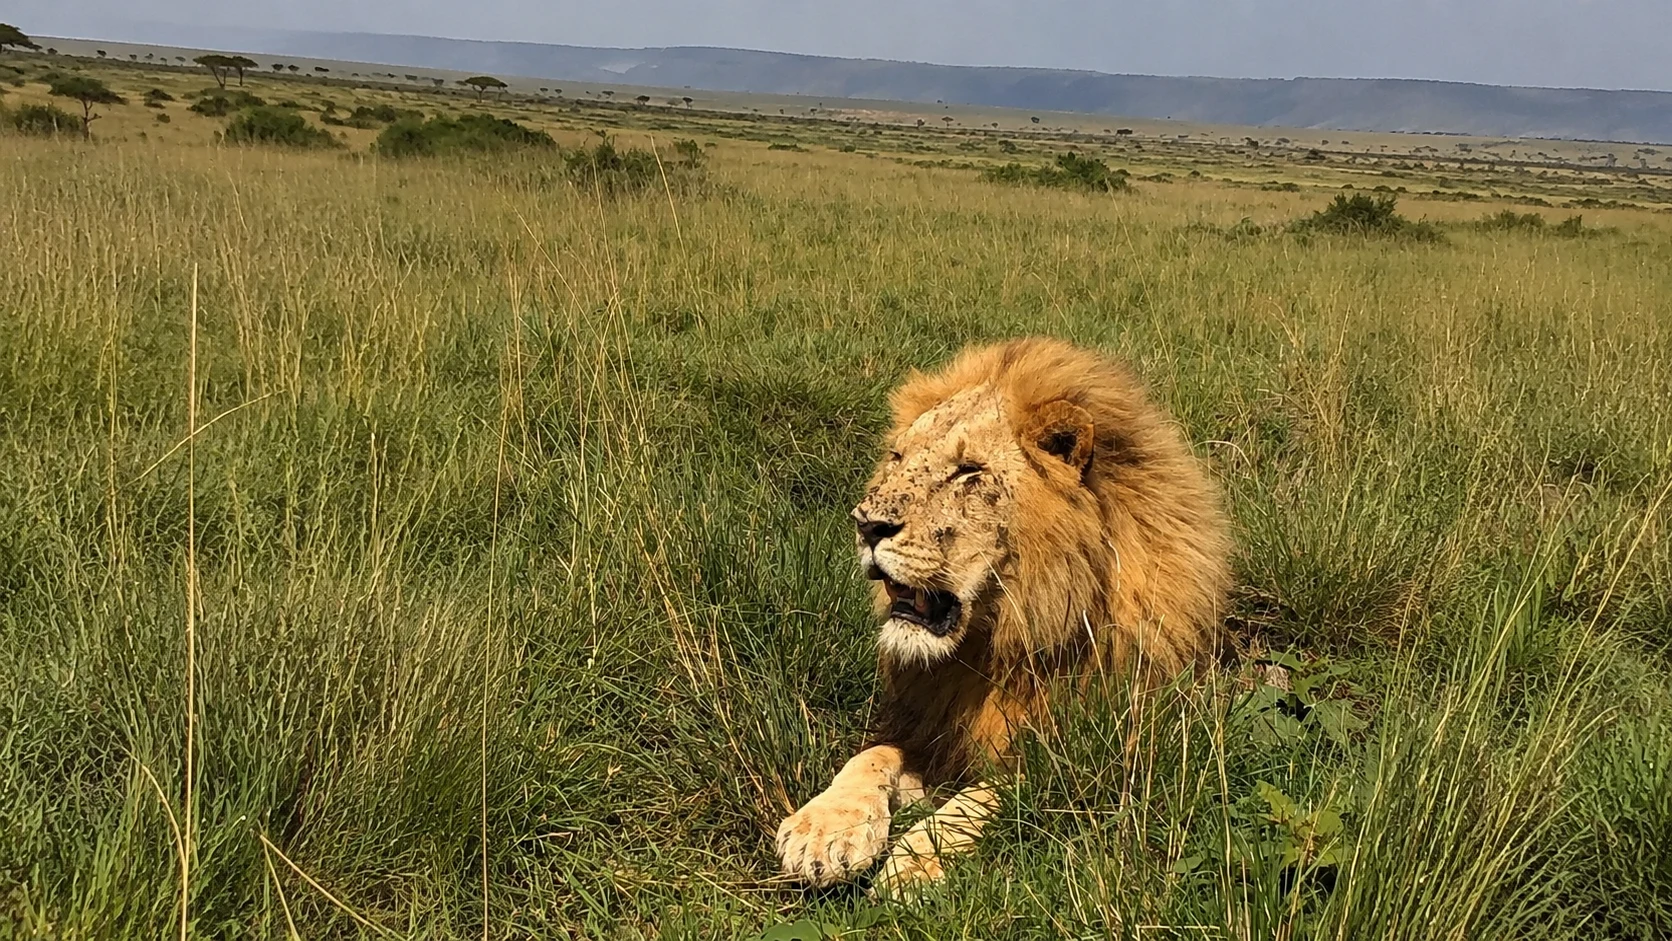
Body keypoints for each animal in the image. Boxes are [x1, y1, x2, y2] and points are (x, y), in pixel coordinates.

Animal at [775, 337, 1232, 894]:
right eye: (897, 458)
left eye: (968, 471)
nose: (866, 524)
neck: (998, 645)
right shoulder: (926, 730)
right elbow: (871, 756)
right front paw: (822, 831)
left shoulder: (1092, 758)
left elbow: (986, 795)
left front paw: (915, 861)